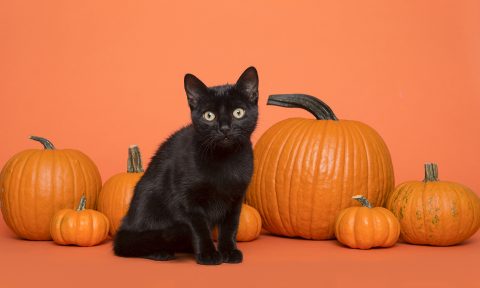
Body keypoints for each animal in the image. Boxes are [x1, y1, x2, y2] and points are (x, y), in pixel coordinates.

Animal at [114, 66, 258, 264]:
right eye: (209, 116)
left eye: (238, 112)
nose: (224, 129)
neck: (225, 160)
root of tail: (126, 222)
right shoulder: (187, 200)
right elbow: (200, 229)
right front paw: (208, 254)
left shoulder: (236, 198)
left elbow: (230, 227)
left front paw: (228, 251)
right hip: (149, 198)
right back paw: (161, 251)